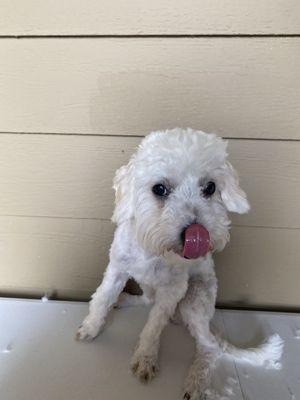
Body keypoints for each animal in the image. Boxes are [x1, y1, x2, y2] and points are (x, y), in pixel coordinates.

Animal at [77, 129, 284, 400]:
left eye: (210, 187)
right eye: (160, 189)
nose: (196, 234)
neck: (154, 249)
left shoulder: (173, 290)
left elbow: (153, 326)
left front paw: (145, 357)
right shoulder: (117, 269)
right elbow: (101, 298)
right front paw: (91, 327)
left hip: (193, 301)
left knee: (210, 347)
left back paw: (196, 382)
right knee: (147, 299)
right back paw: (125, 299)